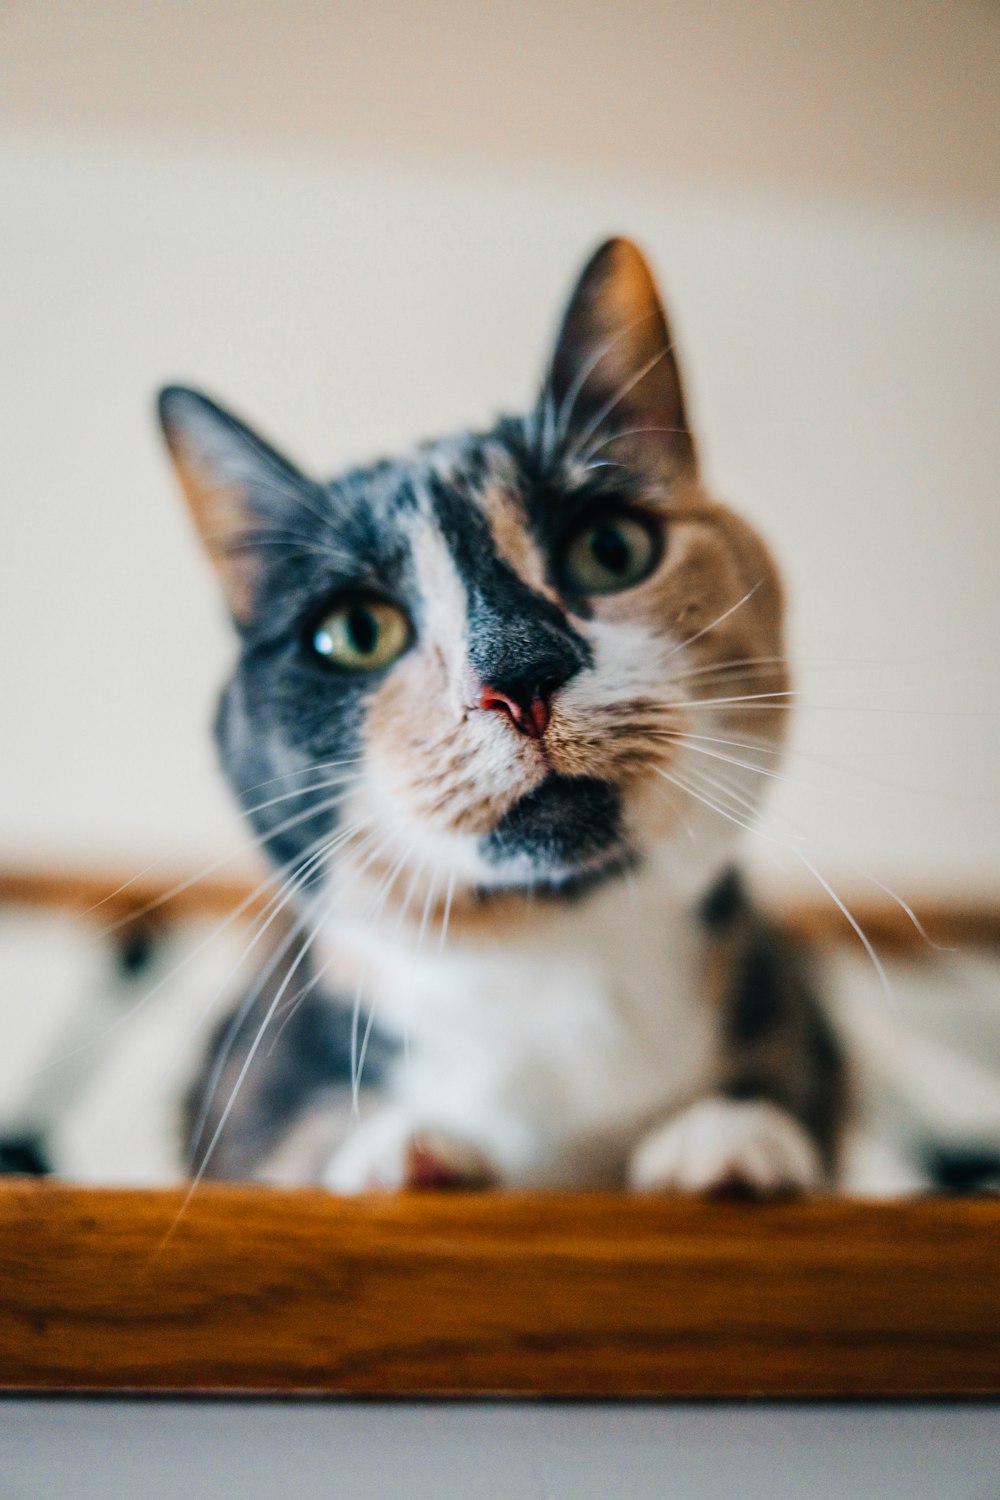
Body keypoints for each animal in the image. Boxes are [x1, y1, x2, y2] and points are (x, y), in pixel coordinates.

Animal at [160, 234, 851, 1194]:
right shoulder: (246, 1078)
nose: (520, 674)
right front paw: (403, 1150)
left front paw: (728, 1137)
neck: (558, 963)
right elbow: (278, 1150)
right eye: (355, 632)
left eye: (611, 547)